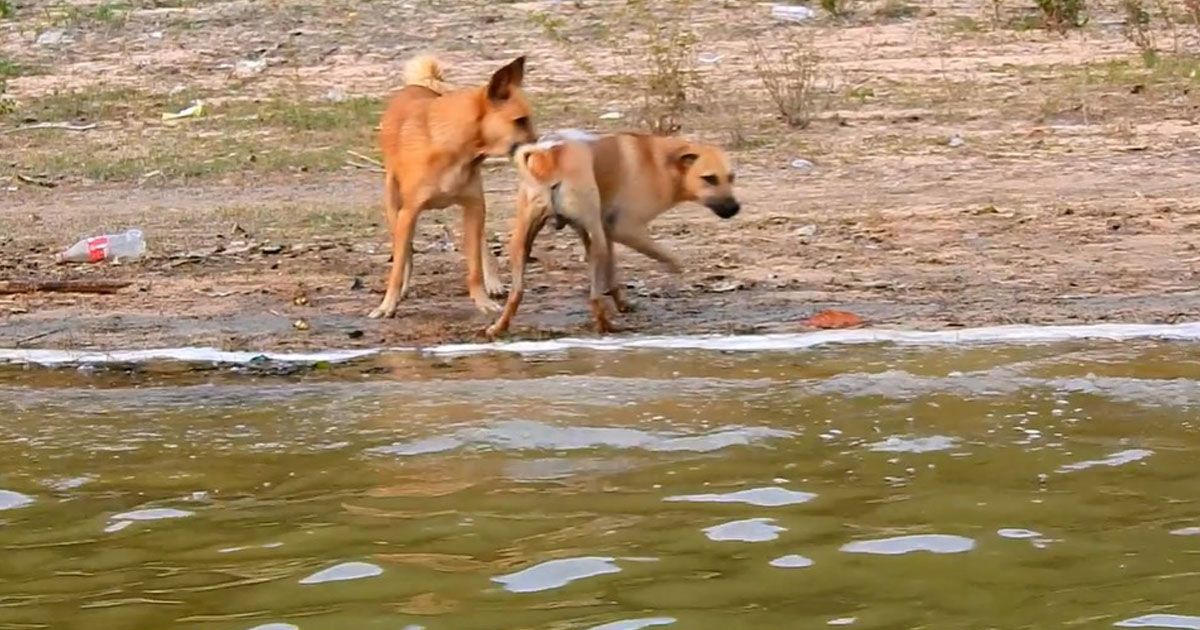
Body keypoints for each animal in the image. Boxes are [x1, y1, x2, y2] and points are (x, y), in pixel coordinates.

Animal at [364, 54, 535, 319]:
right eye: (520, 121)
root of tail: (416, 86)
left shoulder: (474, 208)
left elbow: (475, 266)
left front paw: (482, 300)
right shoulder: (408, 213)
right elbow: (399, 265)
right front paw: (387, 305)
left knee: (482, 245)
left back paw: (493, 281)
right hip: (393, 203)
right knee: (405, 251)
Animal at [487, 129, 739, 338]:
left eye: (731, 177)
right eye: (709, 178)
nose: (736, 208)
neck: (661, 164)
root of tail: (550, 156)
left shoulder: (606, 231)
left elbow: (612, 273)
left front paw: (621, 302)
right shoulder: (624, 229)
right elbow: (666, 255)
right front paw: (676, 267)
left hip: (523, 244)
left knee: (516, 293)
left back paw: (499, 327)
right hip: (594, 239)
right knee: (594, 297)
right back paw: (606, 326)